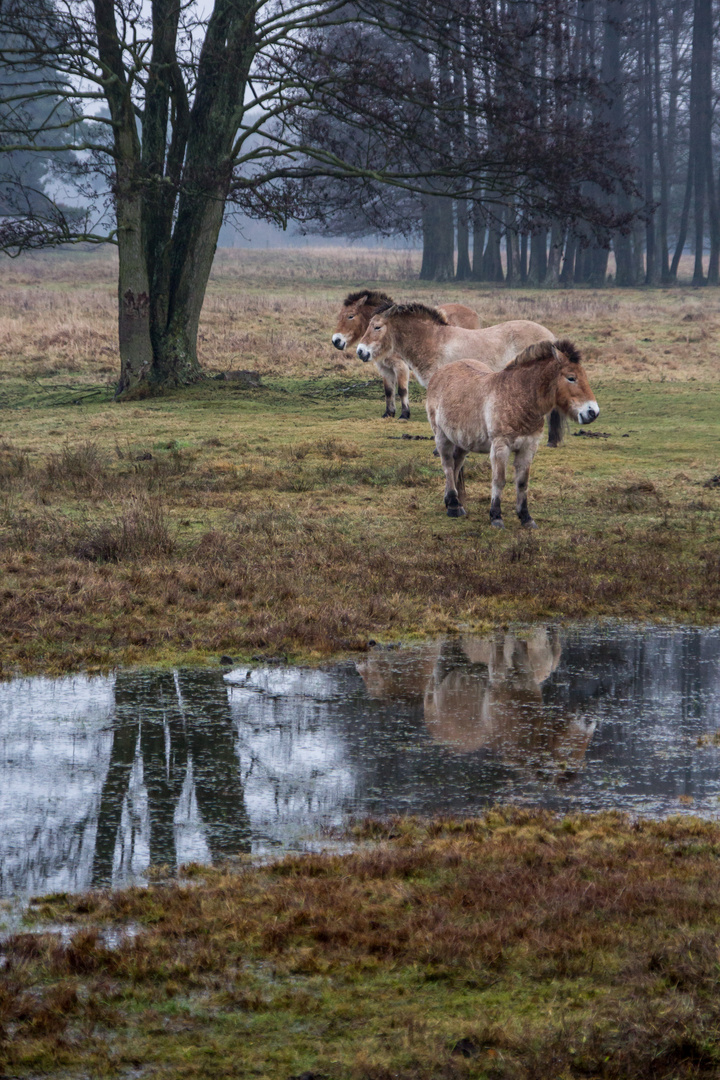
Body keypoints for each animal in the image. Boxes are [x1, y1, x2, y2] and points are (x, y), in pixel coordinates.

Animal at [334, 289, 481, 419]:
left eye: (350, 316)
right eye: (339, 316)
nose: (336, 341)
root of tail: (473, 312)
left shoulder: (401, 367)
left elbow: (402, 390)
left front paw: (405, 414)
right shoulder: (385, 368)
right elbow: (389, 391)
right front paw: (389, 413)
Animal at [425, 334, 600, 524]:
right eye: (571, 378)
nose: (593, 412)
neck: (517, 397)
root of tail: (440, 373)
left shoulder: (528, 448)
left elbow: (522, 482)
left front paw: (526, 517)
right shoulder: (501, 447)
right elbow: (499, 480)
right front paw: (496, 516)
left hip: (462, 440)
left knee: (456, 464)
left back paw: (454, 503)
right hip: (442, 436)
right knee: (448, 465)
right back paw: (453, 506)